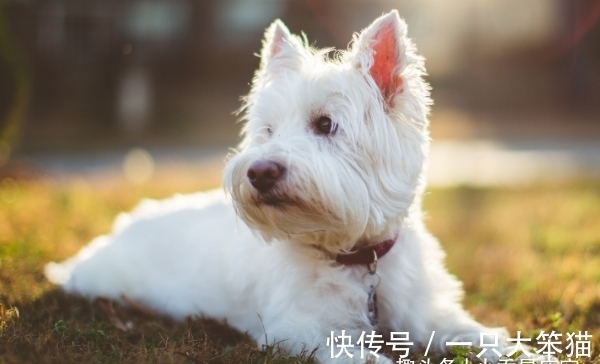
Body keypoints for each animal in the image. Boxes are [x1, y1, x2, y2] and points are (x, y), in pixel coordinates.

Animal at [47, 11, 528, 364]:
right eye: (268, 130)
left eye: (325, 124)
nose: (259, 172)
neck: (356, 258)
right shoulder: (300, 330)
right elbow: (363, 355)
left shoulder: (428, 314)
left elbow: (481, 336)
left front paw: (527, 352)